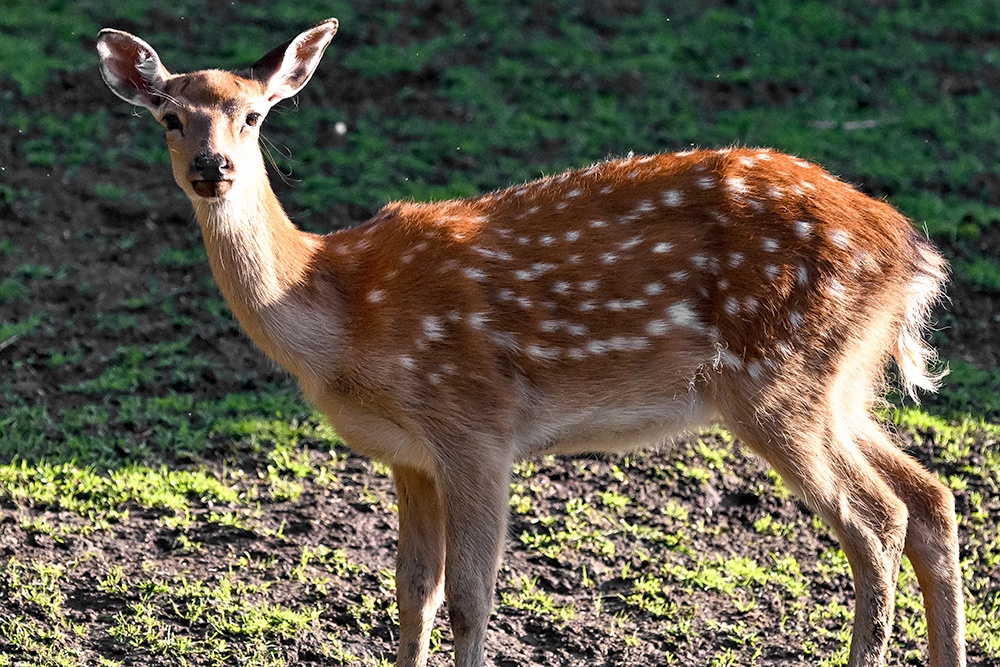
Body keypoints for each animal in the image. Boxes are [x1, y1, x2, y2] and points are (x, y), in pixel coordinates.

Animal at [96, 18, 966, 667]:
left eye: (253, 115)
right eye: (170, 116)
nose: (213, 167)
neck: (337, 315)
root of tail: (911, 250)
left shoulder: (474, 423)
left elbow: (470, 597)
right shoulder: (409, 453)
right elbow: (412, 592)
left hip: (777, 379)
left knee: (876, 519)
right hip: (838, 383)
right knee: (932, 497)